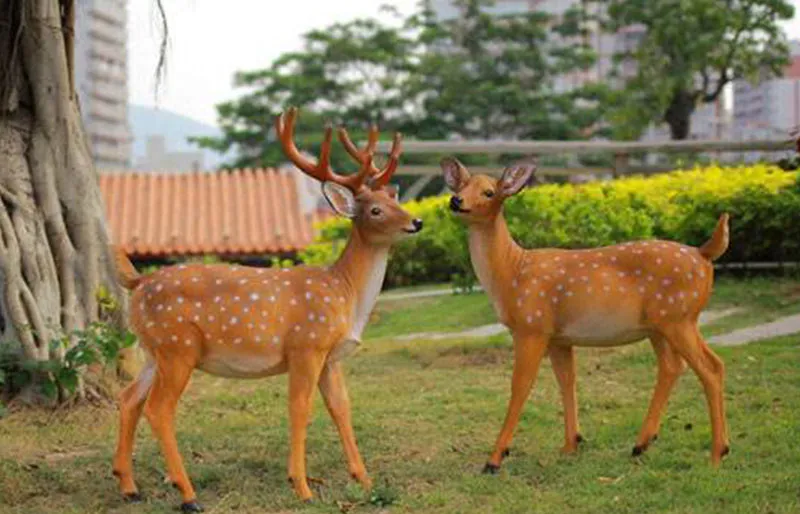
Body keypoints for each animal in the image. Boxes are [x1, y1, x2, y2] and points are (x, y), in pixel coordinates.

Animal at [111, 107, 423, 512]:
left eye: (396, 200)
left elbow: (341, 408)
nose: (416, 221)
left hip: (154, 350)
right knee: (159, 408)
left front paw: (364, 479)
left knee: (129, 398)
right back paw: (188, 494)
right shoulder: (305, 345)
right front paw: (302, 487)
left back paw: (129, 486)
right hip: (178, 346)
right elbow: (300, 407)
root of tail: (138, 282)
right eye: (375, 210)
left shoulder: (331, 357)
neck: (345, 292)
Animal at [441, 157, 730, 475]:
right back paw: (642, 443)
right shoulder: (559, 338)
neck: (512, 271)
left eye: (489, 192)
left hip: (678, 316)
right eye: (461, 186)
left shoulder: (532, 326)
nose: (456, 201)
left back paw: (717, 454)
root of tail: (704, 255)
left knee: (709, 368)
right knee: (675, 366)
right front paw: (571, 444)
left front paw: (494, 459)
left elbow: (520, 385)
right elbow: (567, 380)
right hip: (665, 324)